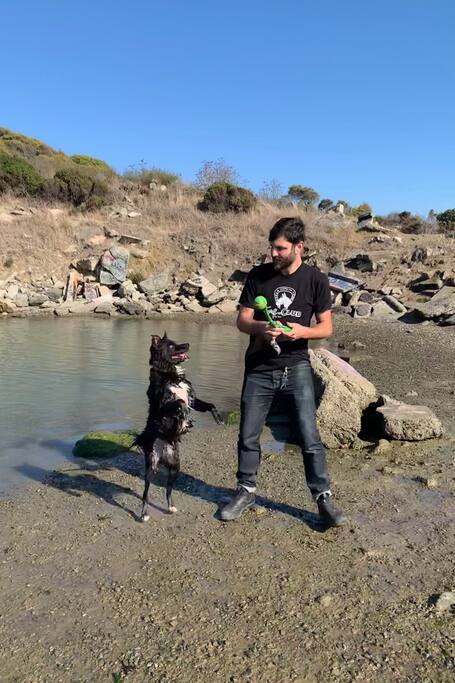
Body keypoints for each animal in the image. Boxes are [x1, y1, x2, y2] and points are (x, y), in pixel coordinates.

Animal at [134, 333, 222, 521]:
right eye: (171, 346)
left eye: (177, 342)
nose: (187, 344)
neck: (170, 372)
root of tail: (163, 452)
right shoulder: (163, 405)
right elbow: (179, 403)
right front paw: (183, 419)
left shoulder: (193, 399)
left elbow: (209, 405)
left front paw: (219, 418)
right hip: (151, 467)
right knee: (146, 494)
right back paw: (144, 514)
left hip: (176, 467)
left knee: (168, 489)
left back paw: (171, 507)